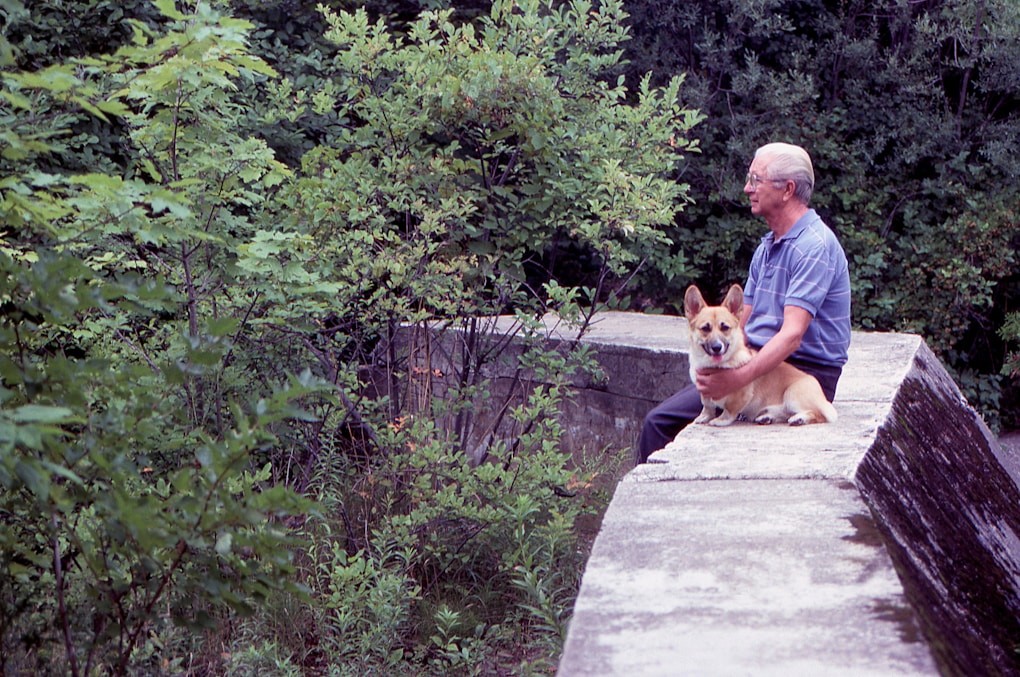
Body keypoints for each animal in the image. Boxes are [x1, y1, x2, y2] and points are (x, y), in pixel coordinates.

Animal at [685, 283, 836, 426]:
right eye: (705, 328)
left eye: (725, 328)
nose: (717, 347)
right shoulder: (704, 392)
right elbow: (707, 406)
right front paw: (704, 417)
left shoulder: (739, 395)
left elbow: (729, 410)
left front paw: (721, 420)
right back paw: (767, 417)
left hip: (792, 394)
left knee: (819, 415)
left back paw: (799, 419)